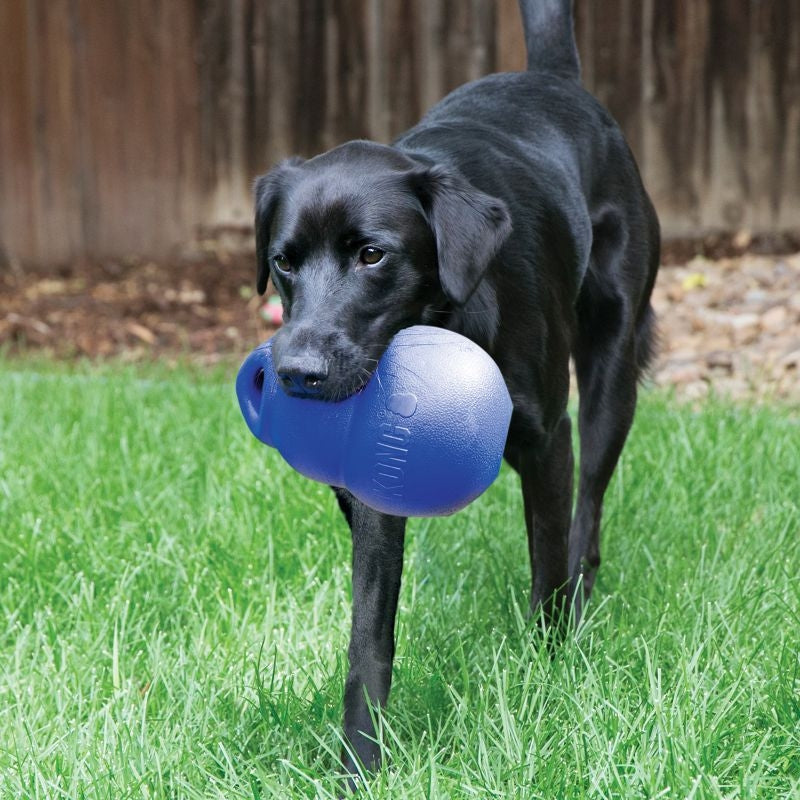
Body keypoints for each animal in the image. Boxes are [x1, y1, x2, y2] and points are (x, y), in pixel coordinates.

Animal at [253, 0, 660, 788]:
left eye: (372, 255)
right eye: (283, 263)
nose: (296, 373)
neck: (444, 321)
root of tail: (554, 81)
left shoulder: (546, 440)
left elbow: (546, 568)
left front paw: (547, 678)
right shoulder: (372, 487)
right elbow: (368, 639)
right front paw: (360, 765)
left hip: (613, 370)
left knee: (588, 508)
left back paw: (585, 597)